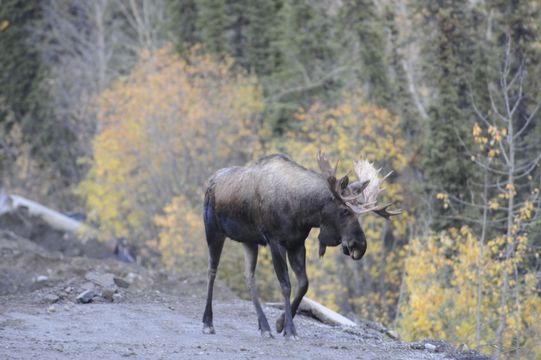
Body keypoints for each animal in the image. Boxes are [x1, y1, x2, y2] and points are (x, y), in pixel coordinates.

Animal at [200, 151, 398, 338]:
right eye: (345, 210)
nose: (360, 245)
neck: (303, 212)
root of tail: (210, 182)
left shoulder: (296, 243)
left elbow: (304, 284)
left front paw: (280, 323)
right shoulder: (275, 241)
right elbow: (286, 284)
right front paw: (290, 329)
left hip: (249, 240)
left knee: (249, 276)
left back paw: (264, 326)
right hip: (213, 231)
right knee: (212, 270)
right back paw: (208, 323)